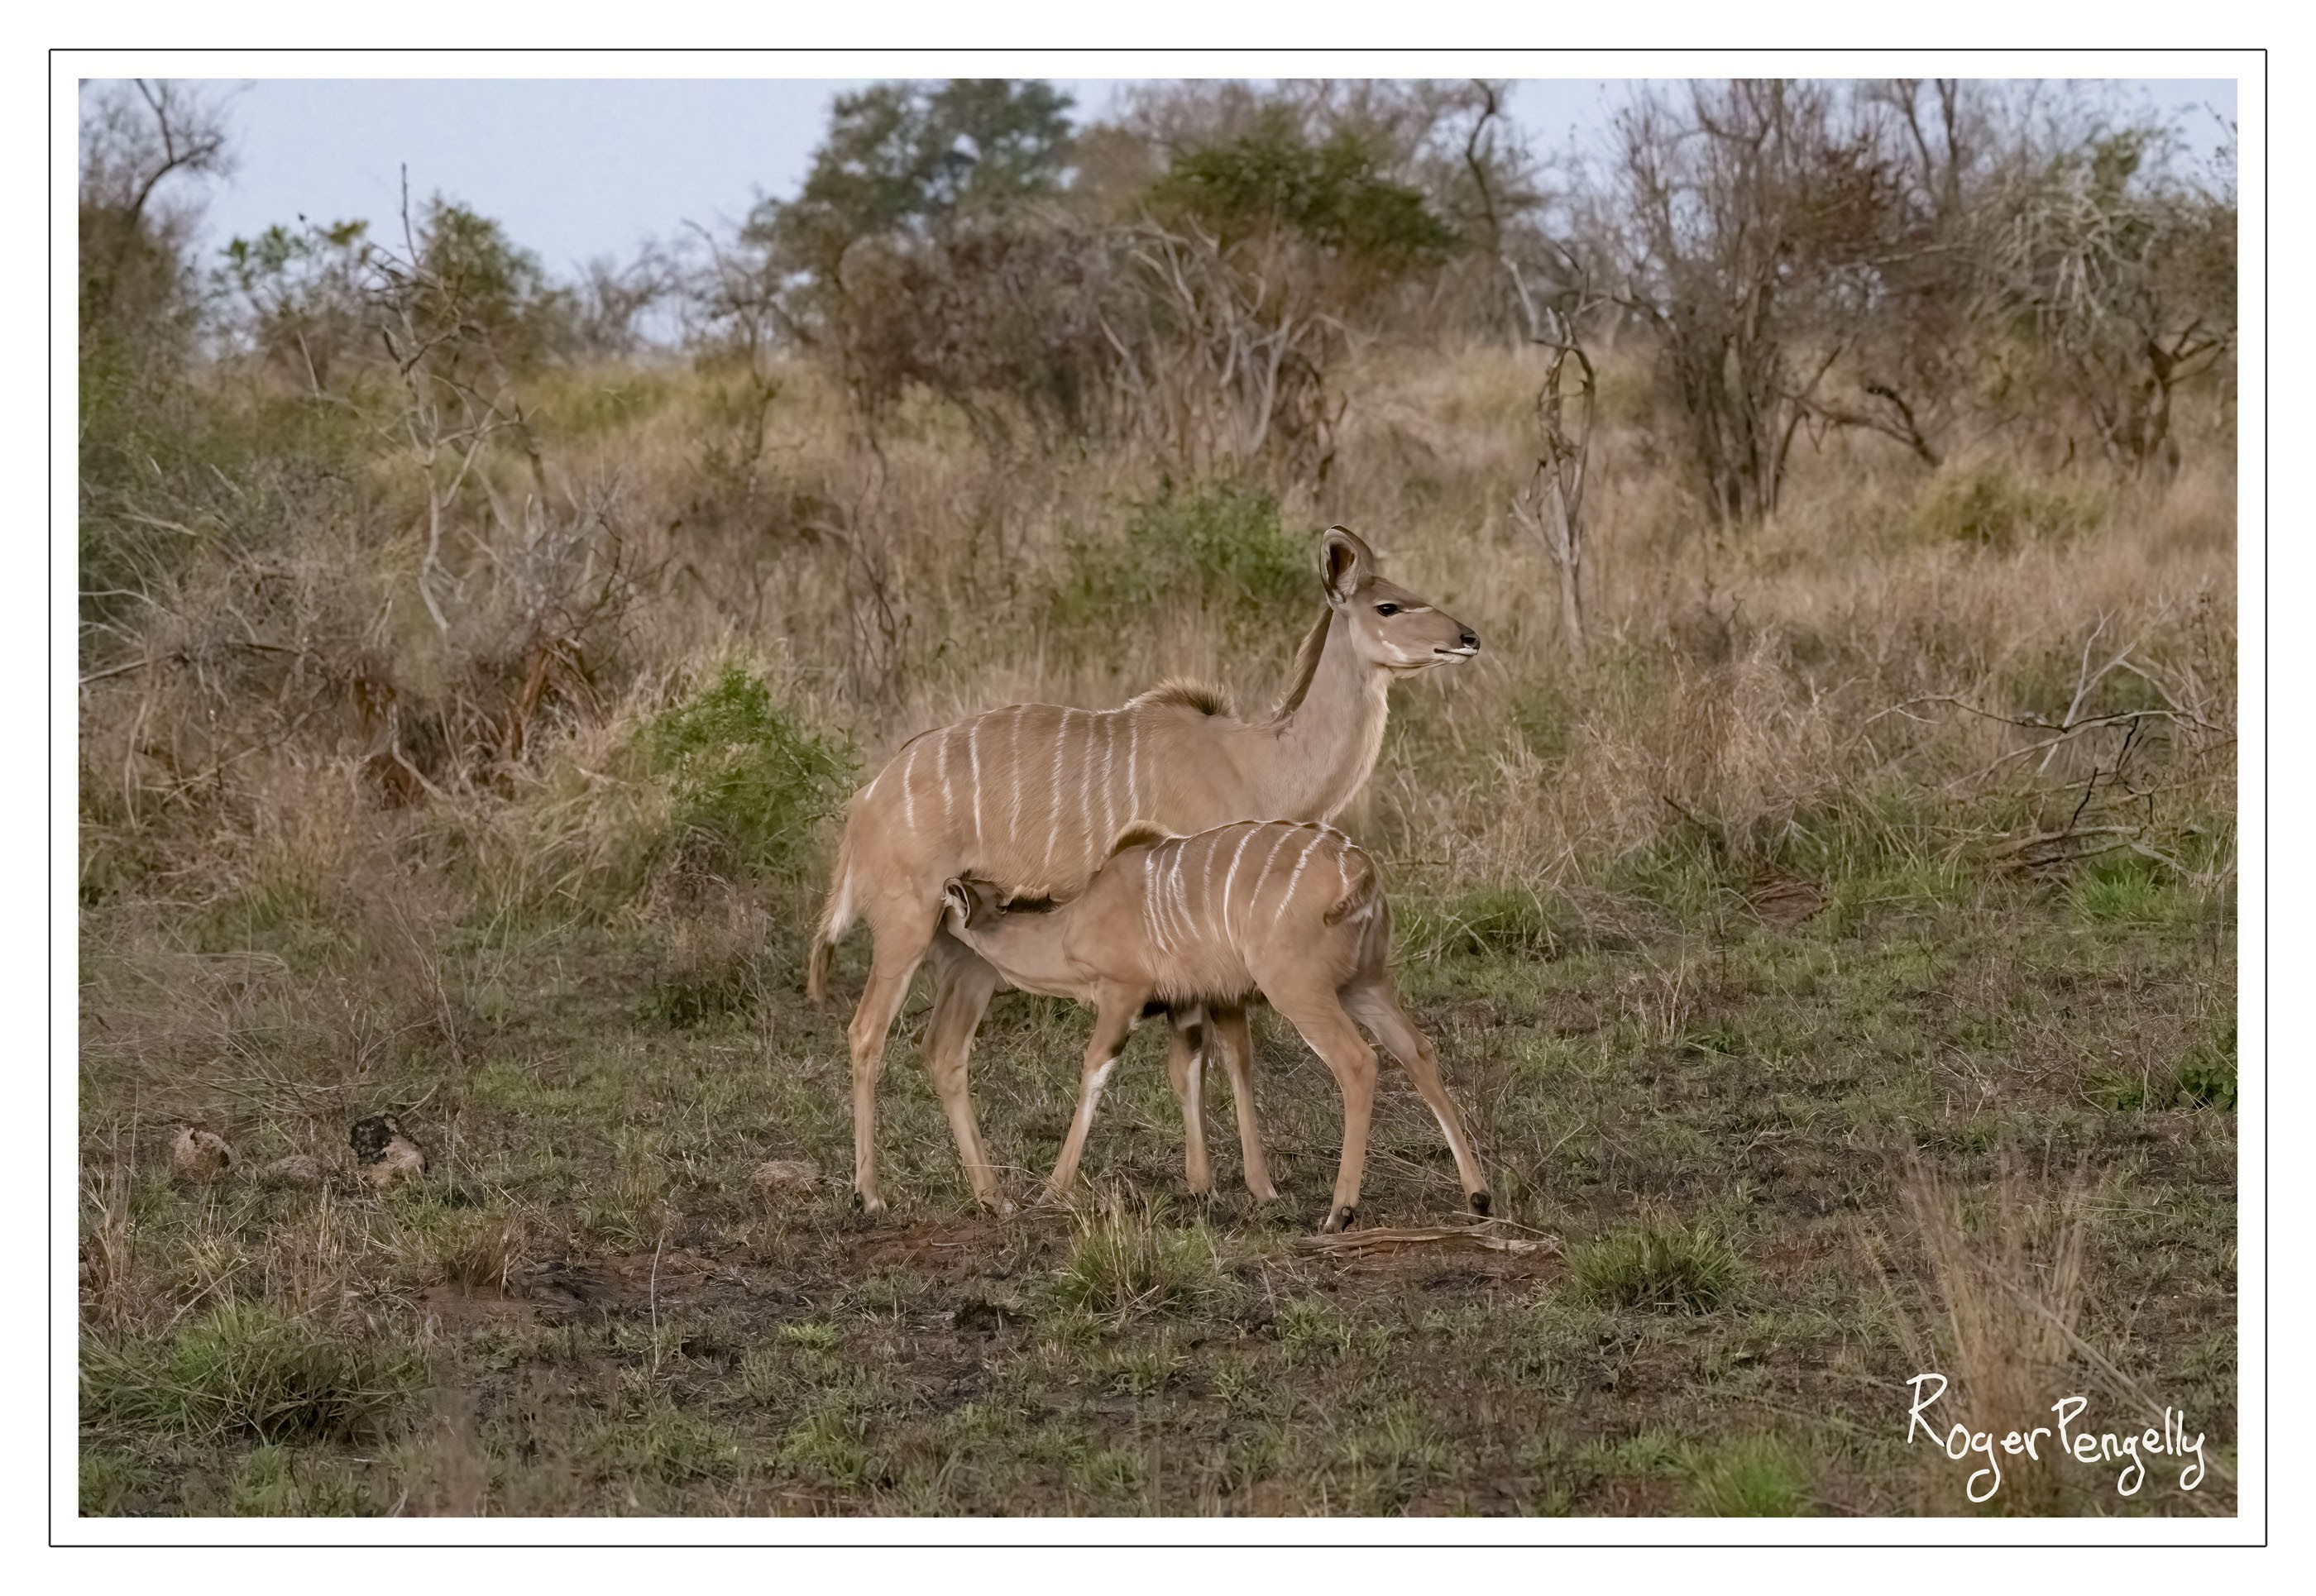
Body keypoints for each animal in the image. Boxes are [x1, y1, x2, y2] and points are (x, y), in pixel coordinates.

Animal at [806, 523, 1472, 1204]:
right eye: (1388, 605)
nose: (1466, 638)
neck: (1256, 760)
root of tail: (865, 803)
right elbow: (1227, 1049)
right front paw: (1256, 1186)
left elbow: (1200, 1055)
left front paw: (1209, 1181)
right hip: (906, 929)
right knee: (866, 1034)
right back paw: (871, 1193)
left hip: (967, 948)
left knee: (942, 1049)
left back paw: (993, 1196)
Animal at [935, 820, 1491, 1232]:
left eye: (946, 909)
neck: (1073, 926)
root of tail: (1361, 872)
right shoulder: (1189, 1003)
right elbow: (1189, 1071)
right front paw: (1206, 1187)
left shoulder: (1122, 995)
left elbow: (1096, 1070)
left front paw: (1053, 1190)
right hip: (1365, 986)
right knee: (1417, 1050)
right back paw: (1478, 1196)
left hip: (1300, 990)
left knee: (1358, 1062)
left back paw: (1340, 1212)